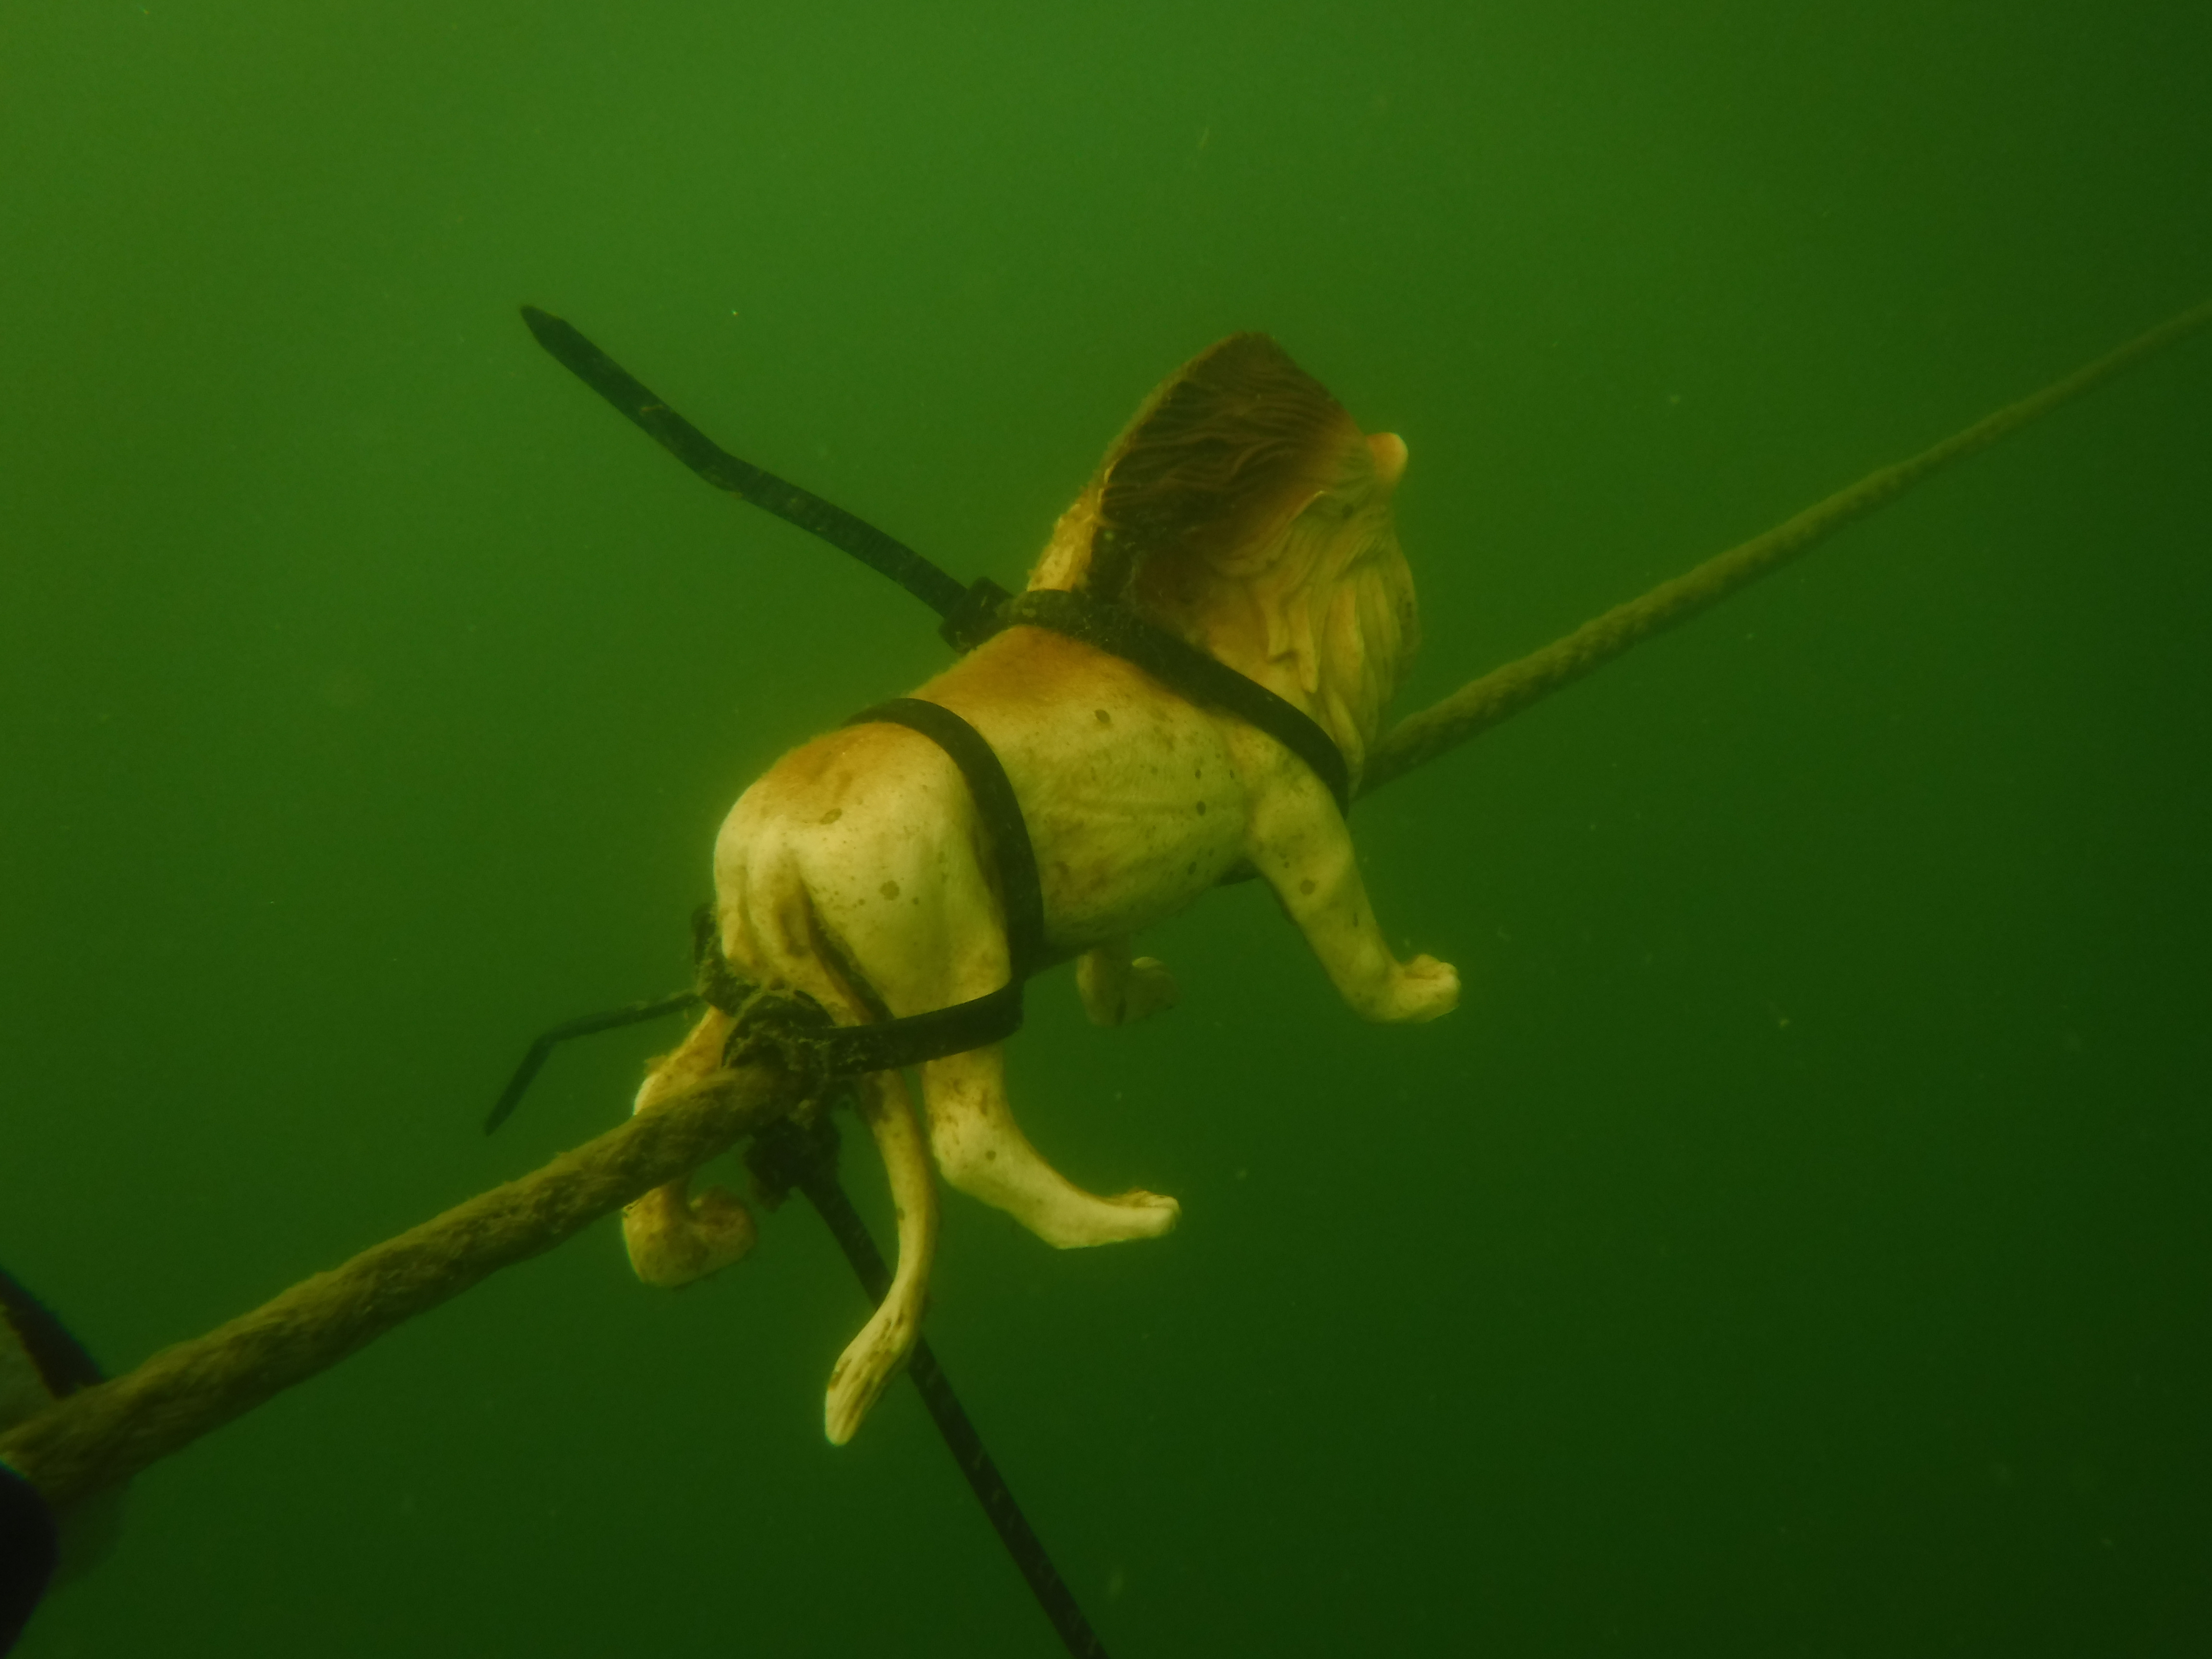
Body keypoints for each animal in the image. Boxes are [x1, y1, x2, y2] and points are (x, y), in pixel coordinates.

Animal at [619, 334, 1458, 1442]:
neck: (1228, 612)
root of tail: (764, 855)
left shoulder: (1109, 864)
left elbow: (1109, 951)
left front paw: (1132, 992)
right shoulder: (1300, 824)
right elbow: (1357, 957)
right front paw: (1424, 991)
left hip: (765, 978)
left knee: (659, 1091)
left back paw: (688, 1239)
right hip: (953, 963)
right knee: (969, 1142)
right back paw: (1124, 1221)